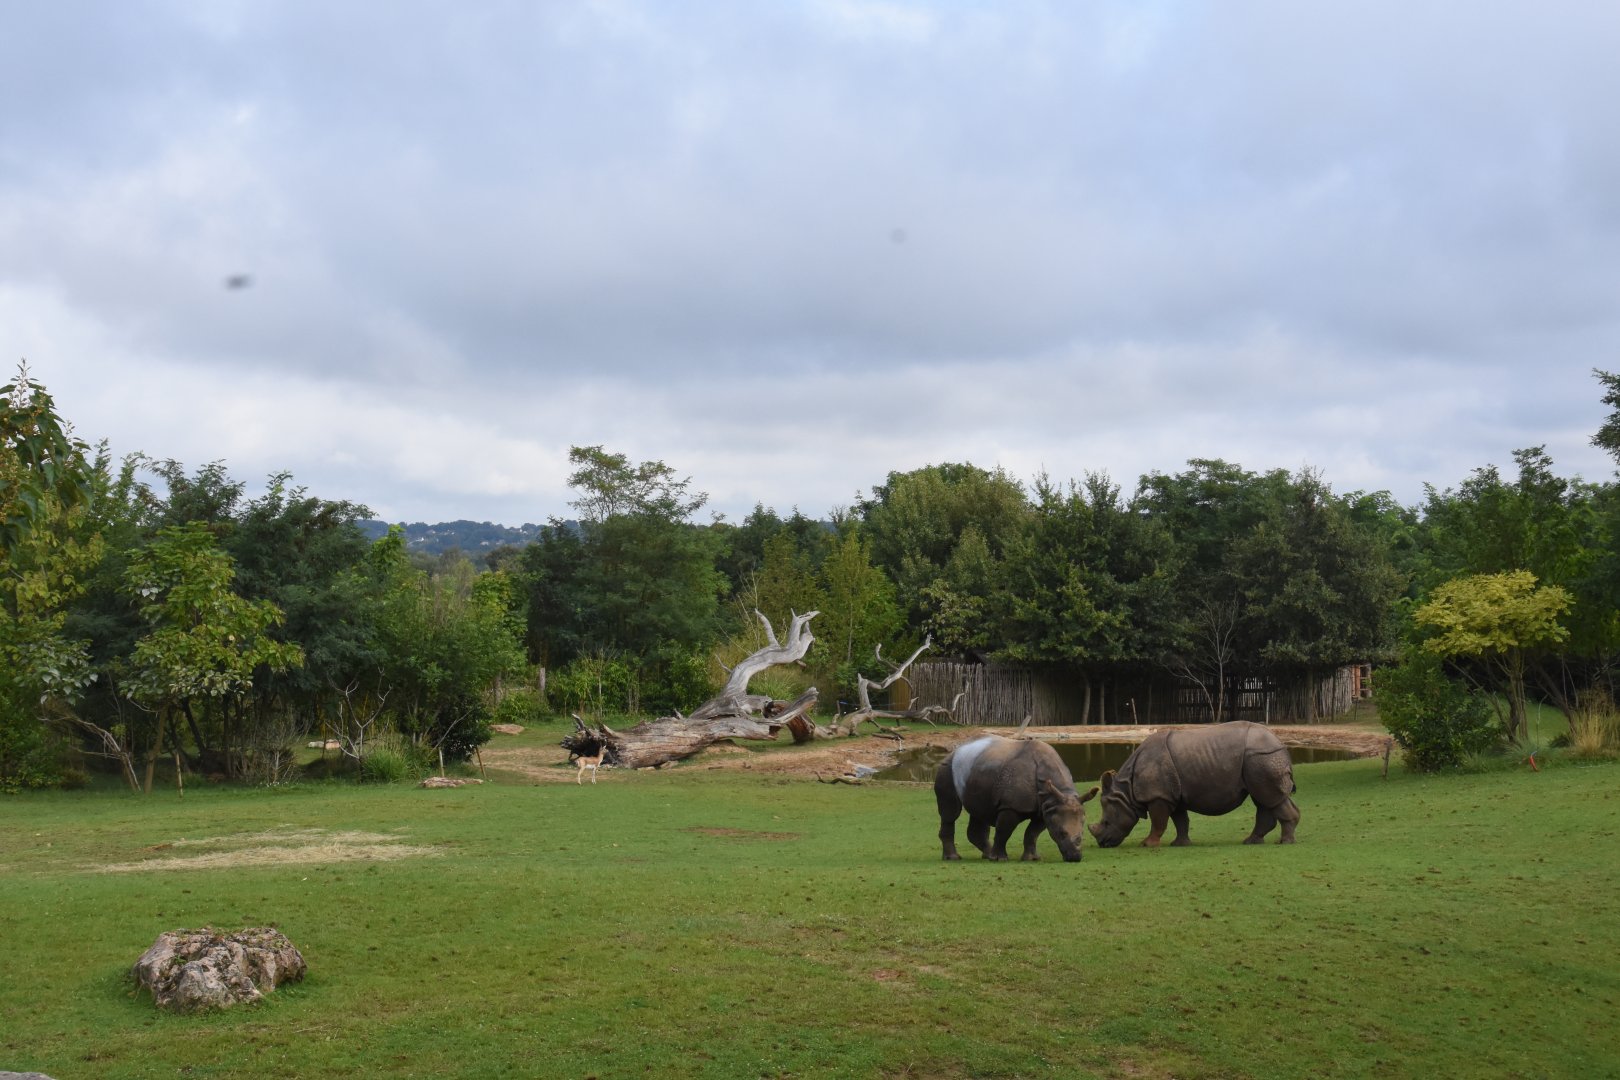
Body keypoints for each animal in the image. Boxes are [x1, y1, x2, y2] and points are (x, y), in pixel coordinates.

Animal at [934, 735, 1099, 862]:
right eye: (1061, 833)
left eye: (1082, 833)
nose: (1075, 858)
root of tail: (955, 749)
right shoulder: (1011, 806)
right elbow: (1004, 831)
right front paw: (999, 859)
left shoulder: (1046, 807)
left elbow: (1032, 833)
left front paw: (1032, 858)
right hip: (947, 767)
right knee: (951, 813)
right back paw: (954, 858)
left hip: (978, 769)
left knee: (979, 811)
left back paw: (986, 855)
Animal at [1089, 721, 1300, 848]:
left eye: (1106, 822)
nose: (1102, 843)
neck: (1126, 791)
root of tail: (1280, 743)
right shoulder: (1172, 795)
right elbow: (1180, 820)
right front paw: (1180, 844)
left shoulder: (1159, 796)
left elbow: (1158, 821)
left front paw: (1147, 844)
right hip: (1260, 759)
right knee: (1265, 799)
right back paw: (1251, 841)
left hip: (1262, 757)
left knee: (1269, 797)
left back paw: (1285, 842)